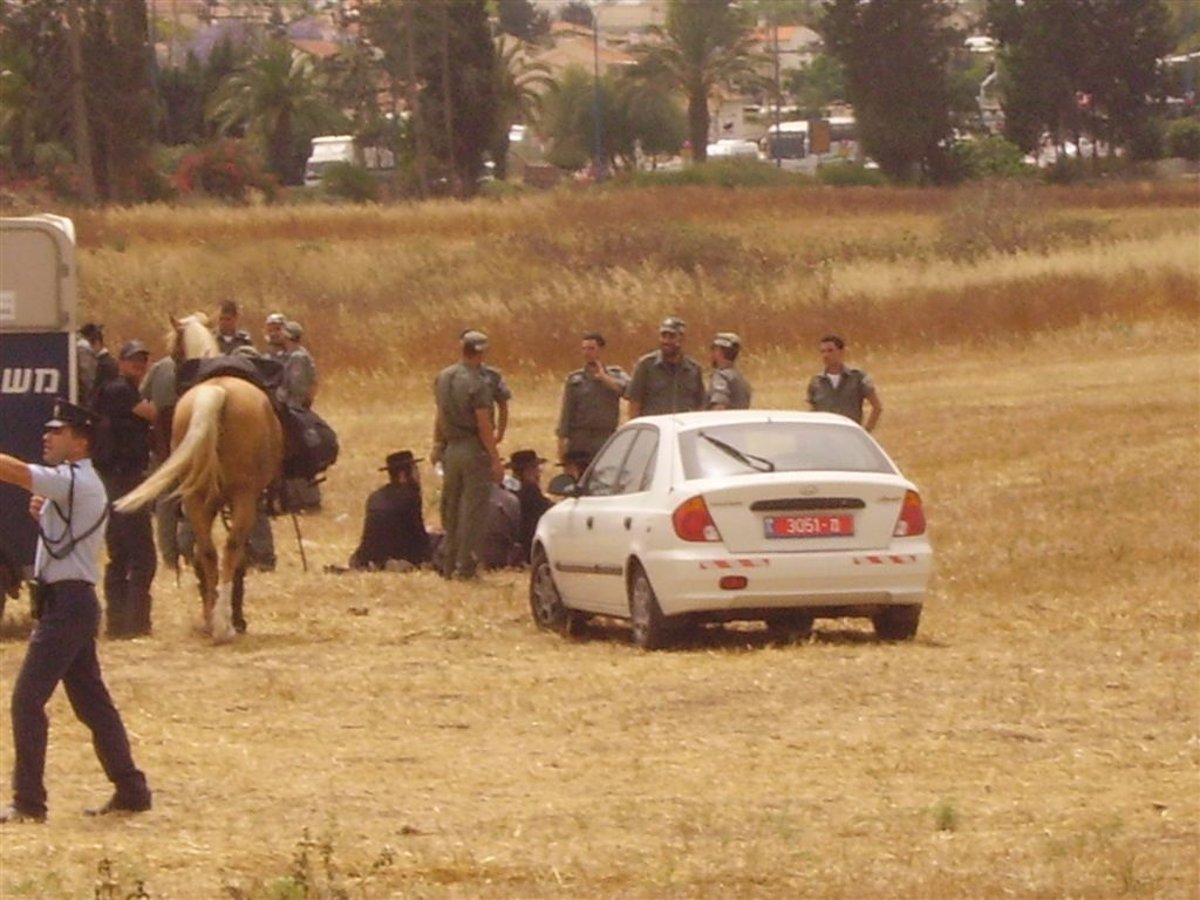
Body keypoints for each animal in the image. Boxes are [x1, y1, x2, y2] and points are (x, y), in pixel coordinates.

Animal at [115, 314, 283, 643]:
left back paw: (210, 620)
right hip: (242, 497)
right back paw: (224, 625)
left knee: (206, 552)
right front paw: (237, 617)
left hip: (195, 498)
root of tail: (215, 392)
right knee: (230, 550)